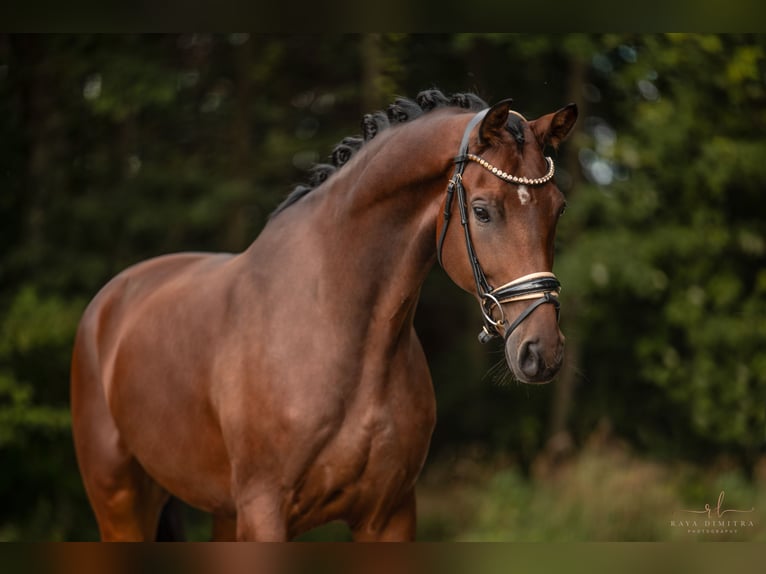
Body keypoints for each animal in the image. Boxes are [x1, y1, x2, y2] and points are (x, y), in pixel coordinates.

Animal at [70, 88, 576, 544]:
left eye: (559, 209)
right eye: (482, 211)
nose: (542, 351)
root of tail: (111, 300)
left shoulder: (389, 515)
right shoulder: (264, 513)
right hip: (120, 502)